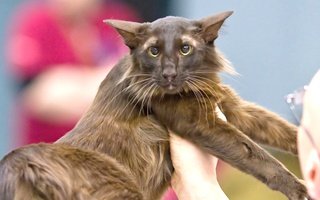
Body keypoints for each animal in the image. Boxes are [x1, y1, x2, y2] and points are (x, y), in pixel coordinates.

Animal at [1, 11, 308, 200]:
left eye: (185, 49)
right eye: (154, 51)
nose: (169, 74)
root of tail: (18, 163)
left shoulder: (232, 107)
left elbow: (278, 130)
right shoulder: (199, 122)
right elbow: (256, 155)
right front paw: (299, 188)